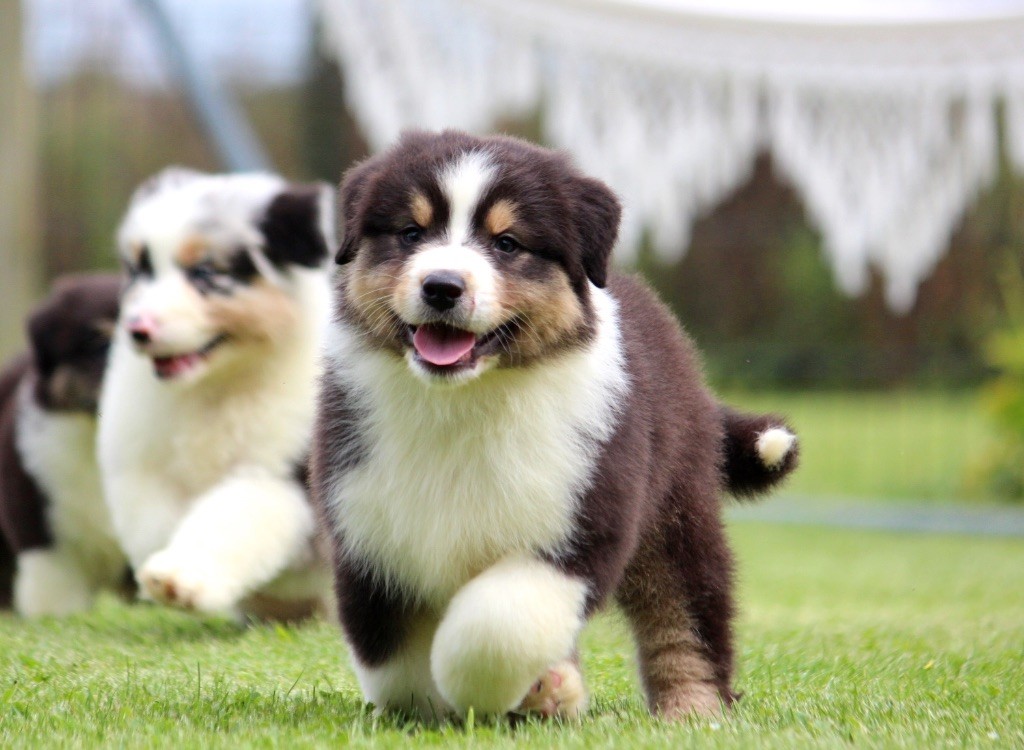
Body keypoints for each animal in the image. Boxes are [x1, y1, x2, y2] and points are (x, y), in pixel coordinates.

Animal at [98, 170, 333, 622]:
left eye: (204, 272)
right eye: (141, 271)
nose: (138, 329)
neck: (216, 384)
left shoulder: (278, 471)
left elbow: (229, 516)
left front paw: (180, 578)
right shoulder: (143, 463)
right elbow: (153, 521)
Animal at [311, 132, 798, 725]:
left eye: (507, 243)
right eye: (411, 233)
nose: (442, 286)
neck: (465, 400)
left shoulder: (580, 520)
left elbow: (494, 628)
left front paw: (520, 688)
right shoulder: (369, 533)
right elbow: (395, 664)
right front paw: (527, 693)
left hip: (675, 511)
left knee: (686, 616)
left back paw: (692, 711)